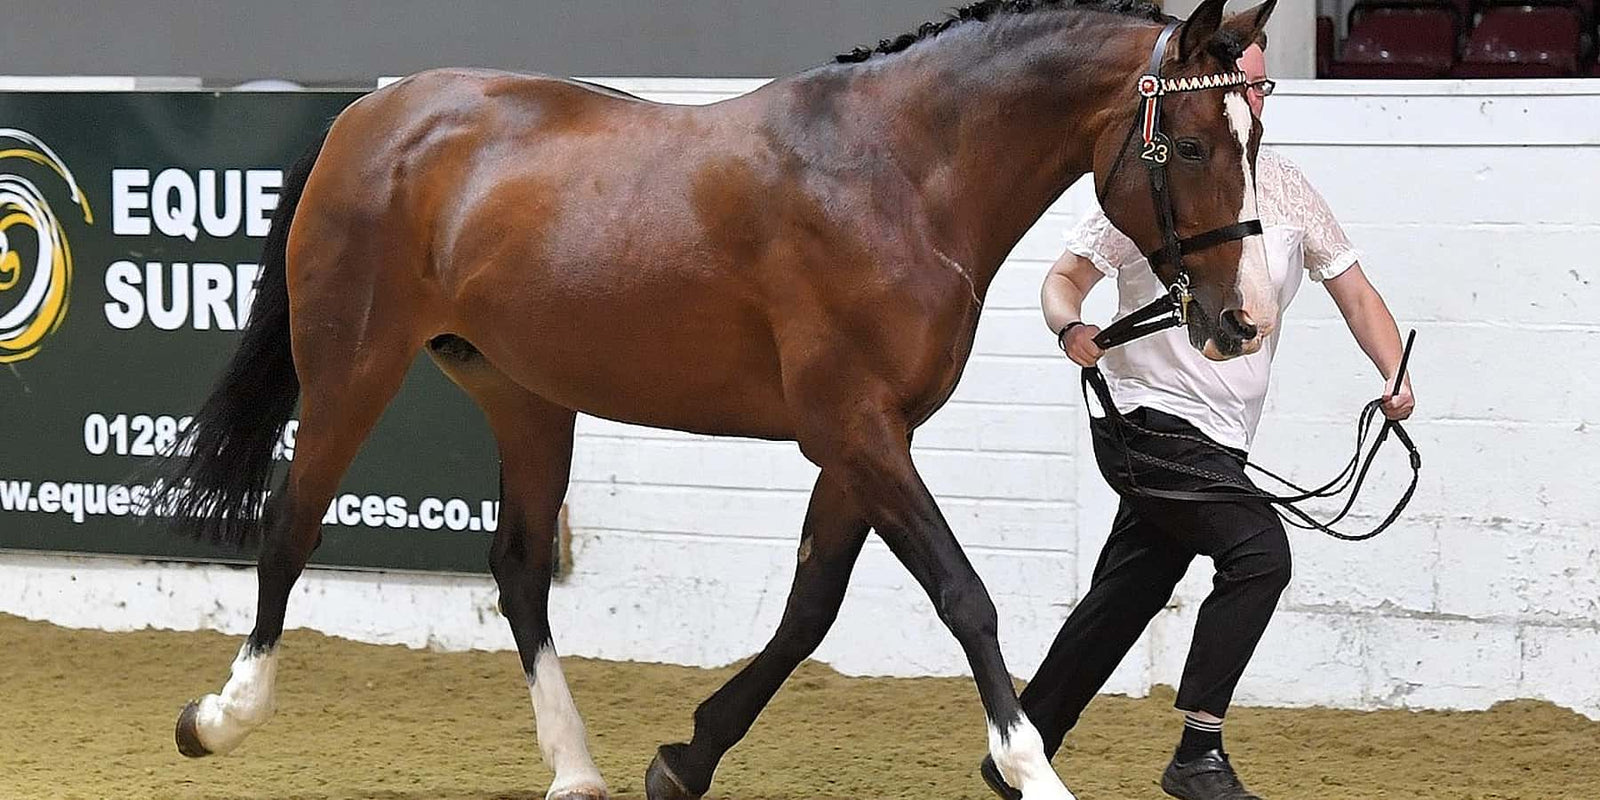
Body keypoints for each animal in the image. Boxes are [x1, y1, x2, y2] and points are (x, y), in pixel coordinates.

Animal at [152, 1, 1278, 798]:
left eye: (1253, 140)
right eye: (1188, 144)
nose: (1238, 322)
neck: (899, 175)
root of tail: (370, 113)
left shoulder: (865, 440)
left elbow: (809, 607)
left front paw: (684, 756)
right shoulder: (856, 429)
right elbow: (963, 596)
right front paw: (1033, 770)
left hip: (524, 395)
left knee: (517, 570)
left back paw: (576, 767)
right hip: (353, 367)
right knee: (292, 525)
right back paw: (217, 719)